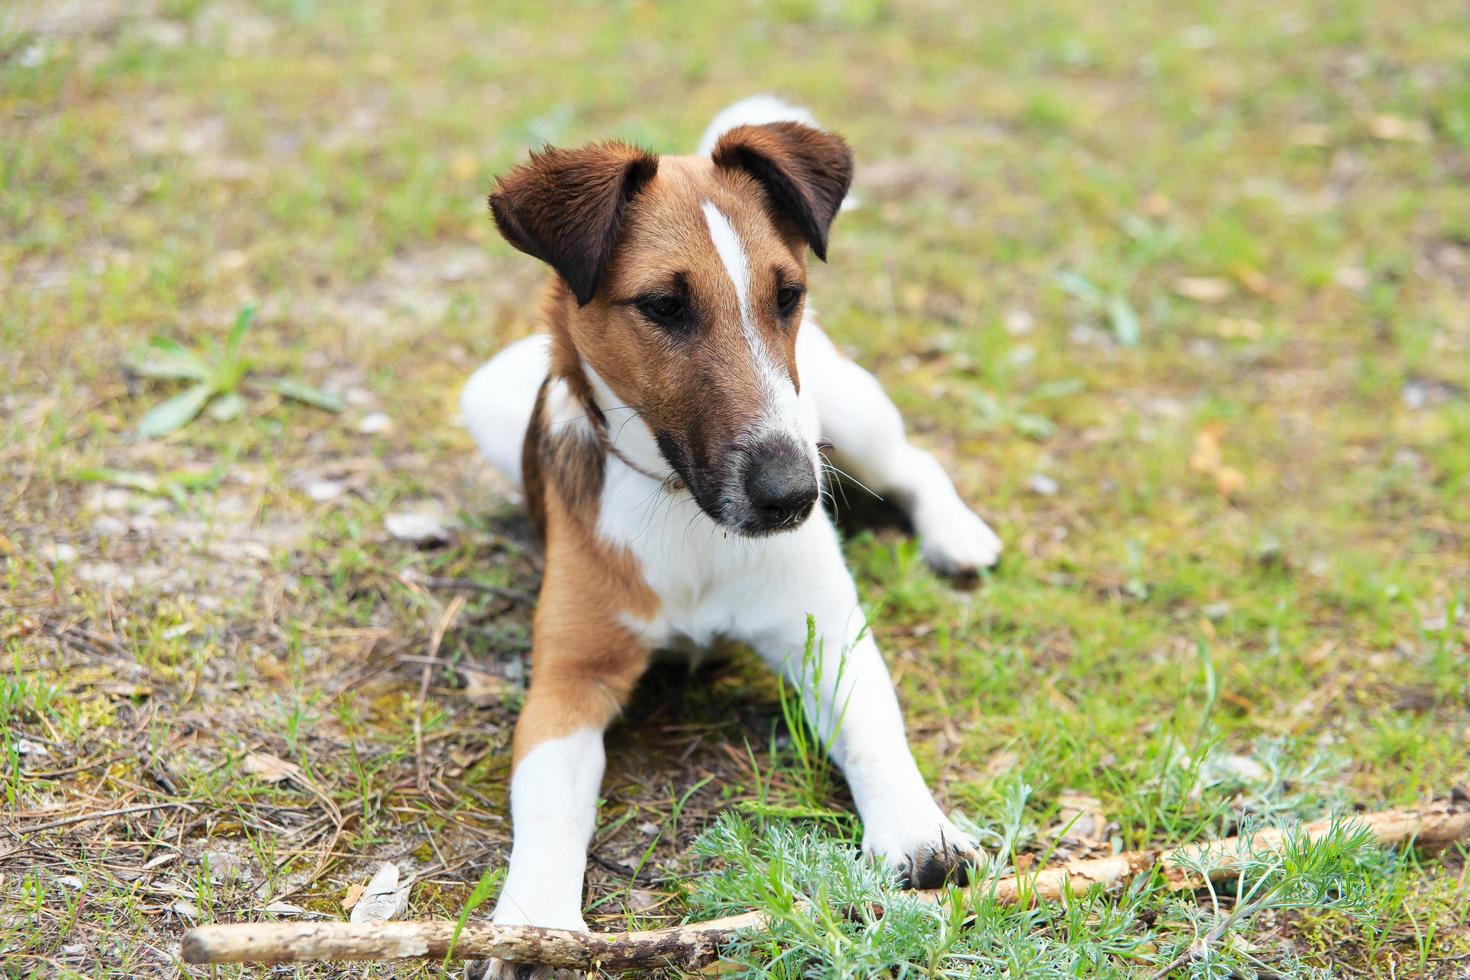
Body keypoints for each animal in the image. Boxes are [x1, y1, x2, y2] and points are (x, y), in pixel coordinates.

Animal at [464, 95, 1005, 975]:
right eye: (664, 305)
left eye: (787, 294)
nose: (794, 499)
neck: (688, 513)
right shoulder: (568, 681)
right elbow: (547, 806)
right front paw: (538, 919)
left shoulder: (827, 633)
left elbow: (873, 727)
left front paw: (916, 827)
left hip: (852, 416)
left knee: (913, 462)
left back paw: (957, 535)